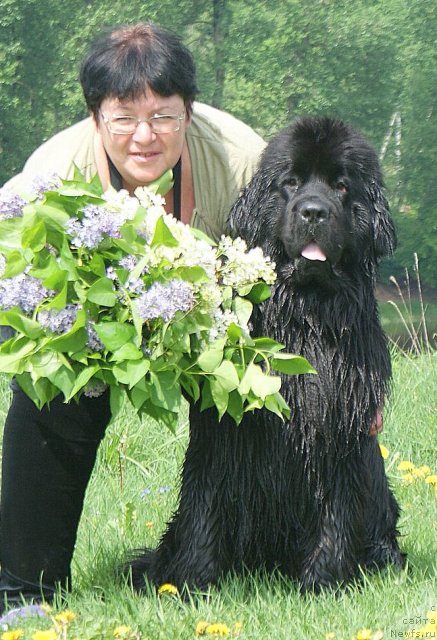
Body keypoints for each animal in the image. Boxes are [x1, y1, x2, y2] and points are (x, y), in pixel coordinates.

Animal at [129, 116, 406, 596]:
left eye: (341, 186)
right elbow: (204, 505)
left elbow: (336, 510)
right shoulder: (221, 433)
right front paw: (191, 583)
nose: (313, 212)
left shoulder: (342, 427)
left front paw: (323, 583)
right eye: (290, 183)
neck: (306, 317)